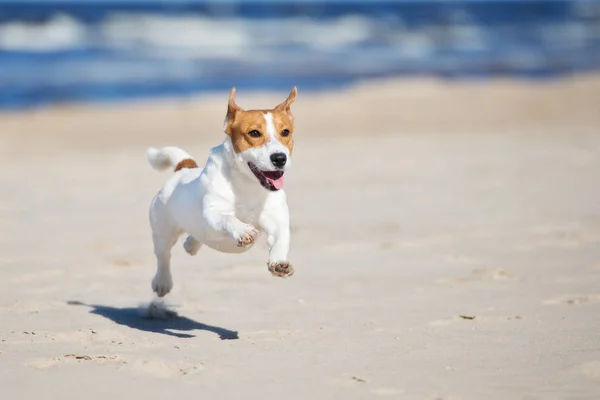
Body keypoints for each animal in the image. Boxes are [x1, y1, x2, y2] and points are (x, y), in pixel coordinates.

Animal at [144, 86, 296, 296]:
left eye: (285, 132)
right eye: (254, 133)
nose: (280, 158)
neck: (248, 186)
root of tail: (184, 168)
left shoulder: (276, 217)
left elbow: (281, 238)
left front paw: (280, 262)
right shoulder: (213, 212)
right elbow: (228, 218)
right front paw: (243, 230)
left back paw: (191, 245)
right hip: (163, 230)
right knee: (163, 255)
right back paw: (162, 281)